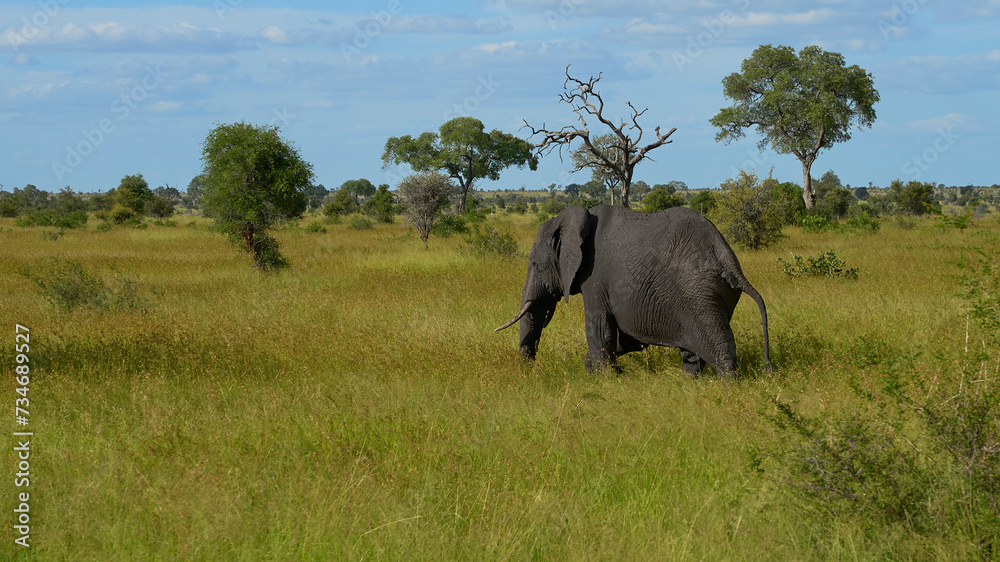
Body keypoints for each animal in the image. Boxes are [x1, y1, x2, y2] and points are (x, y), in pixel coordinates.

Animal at [494, 201, 772, 376]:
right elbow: (622, 336)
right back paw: (689, 382)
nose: (528, 371)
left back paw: (729, 385)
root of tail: (731, 265)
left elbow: (599, 326)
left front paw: (604, 377)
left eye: (534, 264)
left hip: (699, 292)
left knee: (718, 347)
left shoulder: (593, 276)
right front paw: (597, 367)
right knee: (693, 350)